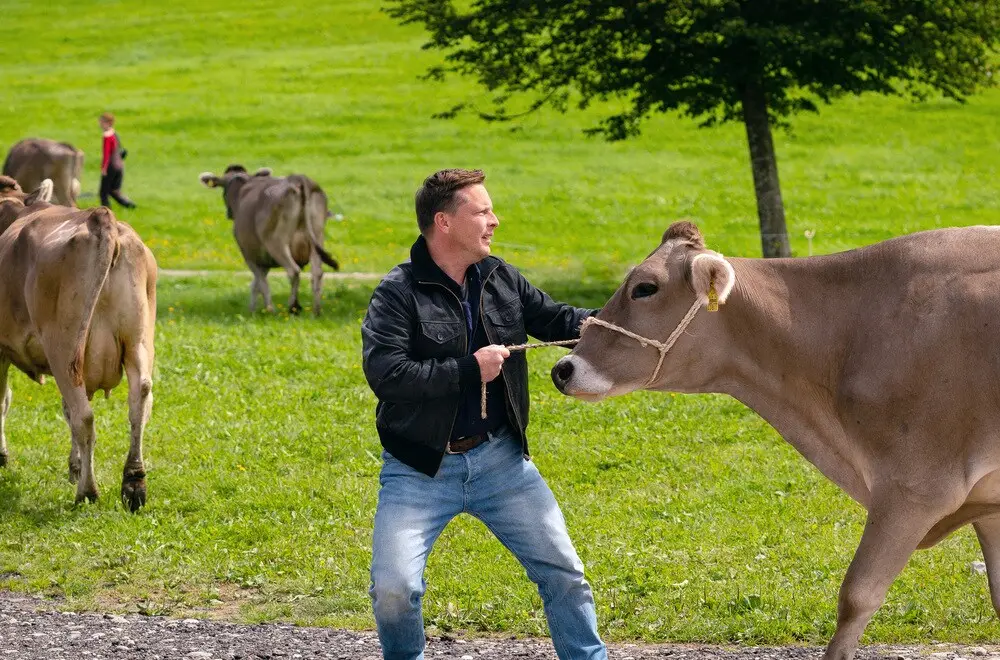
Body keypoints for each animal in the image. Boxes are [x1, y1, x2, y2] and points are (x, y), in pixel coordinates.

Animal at [0, 174, 156, 510]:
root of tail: (102, 219)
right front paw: (74, 467)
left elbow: (3, 400)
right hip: (137, 340)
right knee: (139, 400)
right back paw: (133, 483)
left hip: (64, 345)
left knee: (84, 416)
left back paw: (88, 491)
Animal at [198, 168, 340, 318]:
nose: (228, 213)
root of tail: (297, 178)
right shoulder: (263, 259)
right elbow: (256, 284)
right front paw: (252, 309)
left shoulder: (249, 254)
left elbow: (261, 282)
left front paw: (268, 310)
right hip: (317, 237)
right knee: (317, 272)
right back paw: (316, 311)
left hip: (275, 240)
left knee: (293, 270)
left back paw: (293, 307)